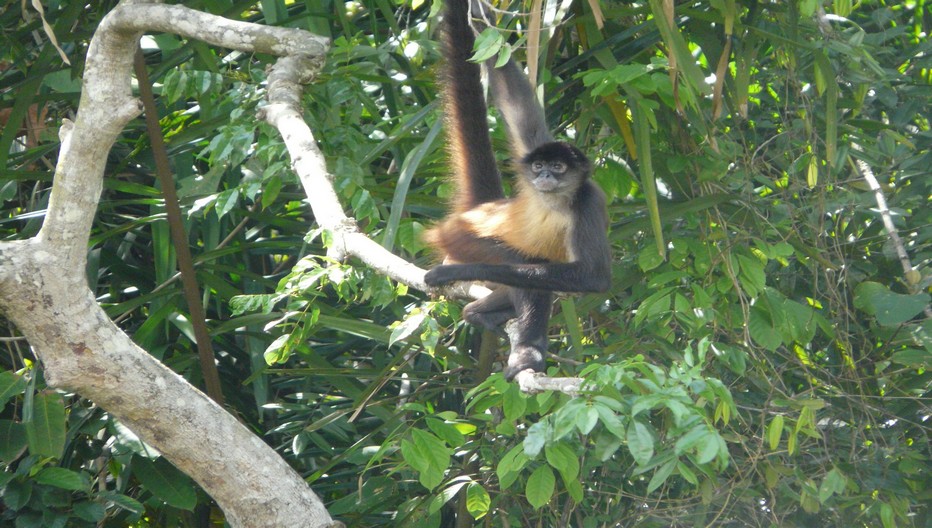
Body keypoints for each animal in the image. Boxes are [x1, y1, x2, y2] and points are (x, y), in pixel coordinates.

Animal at [424, 0, 612, 380]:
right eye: (539, 167)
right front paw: (481, 18)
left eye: (558, 167)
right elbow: (516, 102)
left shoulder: (588, 201)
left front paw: (463, 275)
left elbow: (593, 277)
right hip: (459, 236)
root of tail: (482, 207)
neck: (554, 201)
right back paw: (527, 350)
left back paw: (485, 316)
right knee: (522, 265)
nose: (545, 176)